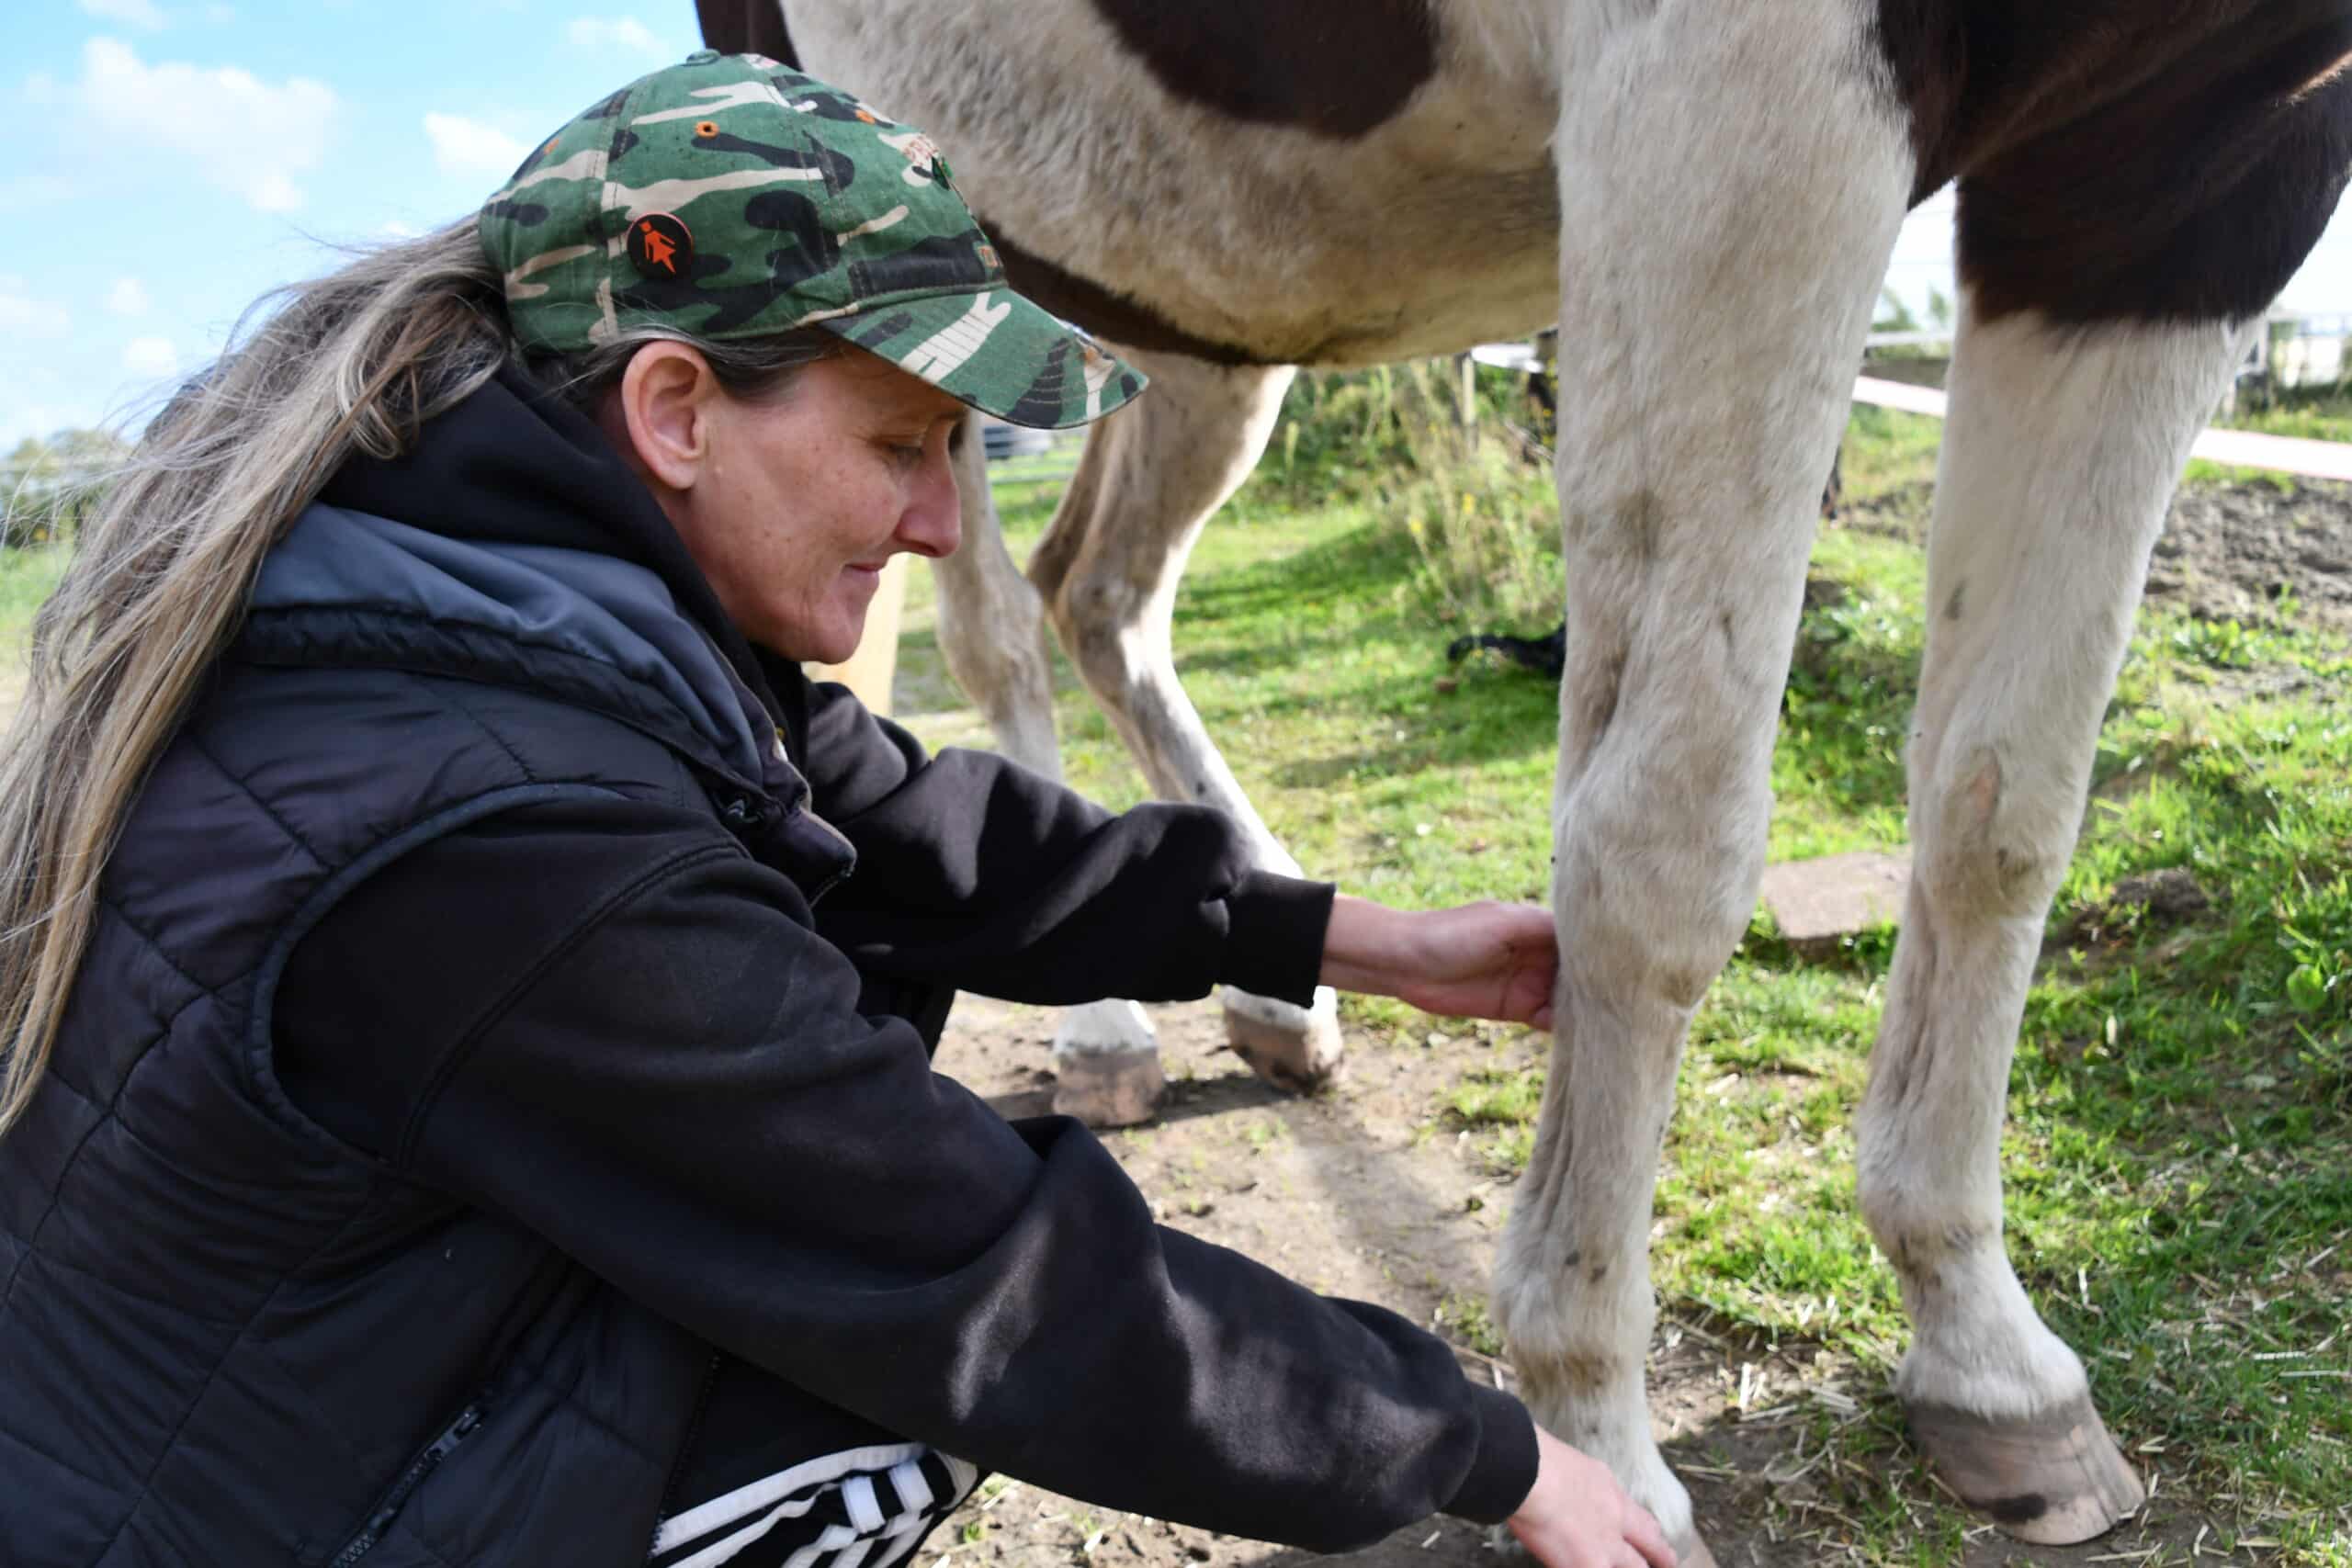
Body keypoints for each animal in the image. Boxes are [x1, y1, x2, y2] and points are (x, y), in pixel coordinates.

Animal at [706, 6, 2352, 1561]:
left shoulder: (2187, 181)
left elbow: (2004, 809)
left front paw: (1987, 1351)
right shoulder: (1745, 98)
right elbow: (1661, 850)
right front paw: (1593, 1425)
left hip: (1173, 296)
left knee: (1100, 590)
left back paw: (1272, 997)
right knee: (999, 623)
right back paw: (1109, 1029)